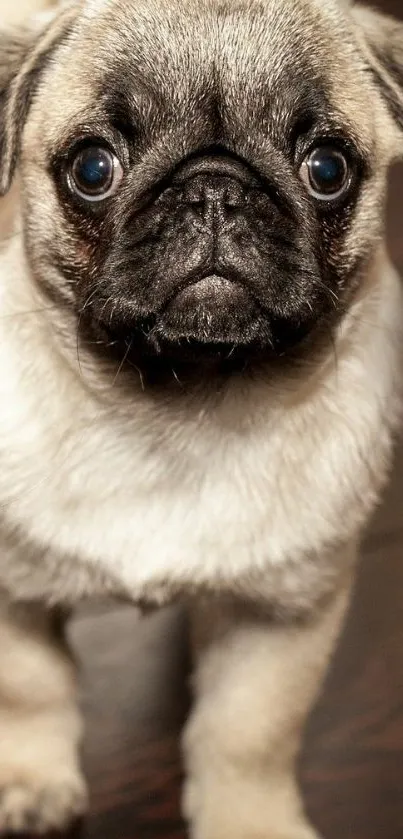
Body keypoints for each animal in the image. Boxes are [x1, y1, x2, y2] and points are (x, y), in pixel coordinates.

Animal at [0, 0, 403, 836]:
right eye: (92, 169)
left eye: (327, 169)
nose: (215, 189)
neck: (175, 406)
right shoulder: (13, 589)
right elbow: (29, 686)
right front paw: (31, 779)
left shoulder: (282, 614)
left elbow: (248, 730)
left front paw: (249, 820)